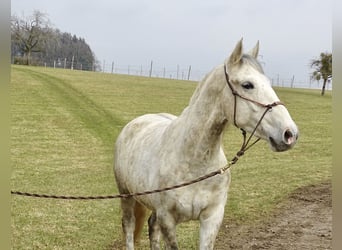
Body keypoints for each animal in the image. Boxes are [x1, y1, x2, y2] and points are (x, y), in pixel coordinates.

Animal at [113, 39, 298, 250]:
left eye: (268, 82)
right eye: (247, 85)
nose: (290, 133)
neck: (194, 160)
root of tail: (135, 123)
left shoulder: (212, 217)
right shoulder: (168, 219)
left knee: (152, 227)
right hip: (126, 196)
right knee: (128, 227)